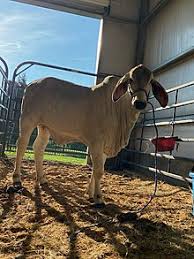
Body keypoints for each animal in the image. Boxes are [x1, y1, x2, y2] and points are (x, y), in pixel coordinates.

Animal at [13, 64, 168, 205]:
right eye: (130, 79)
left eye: (150, 81)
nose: (139, 103)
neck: (118, 109)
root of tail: (32, 84)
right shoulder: (96, 142)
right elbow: (99, 171)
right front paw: (98, 198)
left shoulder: (104, 146)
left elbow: (96, 170)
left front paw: (89, 193)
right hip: (27, 120)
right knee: (21, 145)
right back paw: (17, 179)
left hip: (44, 127)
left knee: (38, 147)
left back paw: (42, 179)